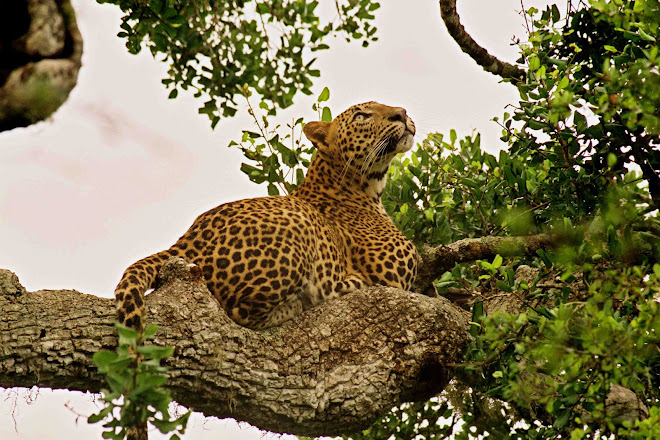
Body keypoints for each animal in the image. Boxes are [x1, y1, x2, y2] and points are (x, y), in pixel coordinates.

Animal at [115, 101, 420, 332]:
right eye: (361, 116)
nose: (402, 112)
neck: (364, 186)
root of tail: (185, 242)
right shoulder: (392, 277)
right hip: (298, 230)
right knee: (241, 312)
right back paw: (305, 301)